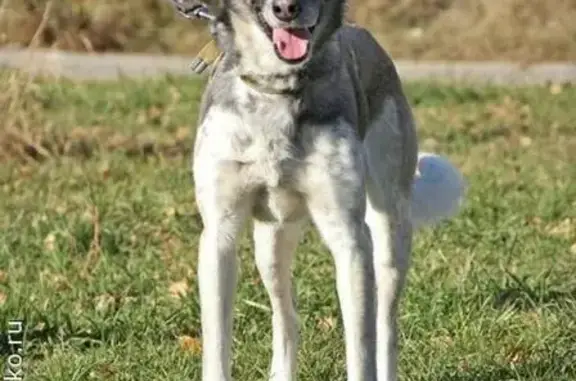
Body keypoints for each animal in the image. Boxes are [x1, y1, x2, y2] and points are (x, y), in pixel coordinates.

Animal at [191, 0, 466, 378]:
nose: (287, 9)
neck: (278, 88)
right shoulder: (220, 234)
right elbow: (216, 349)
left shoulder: (350, 238)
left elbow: (361, 351)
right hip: (270, 246)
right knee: (286, 317)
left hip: (390, 233)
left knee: (386, 326)